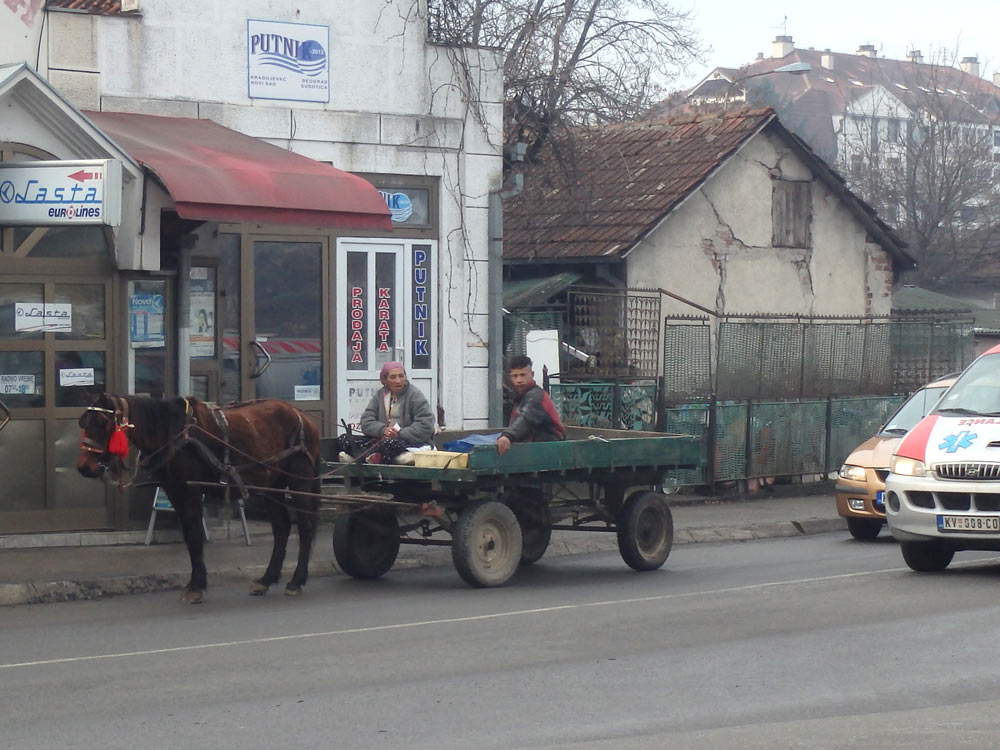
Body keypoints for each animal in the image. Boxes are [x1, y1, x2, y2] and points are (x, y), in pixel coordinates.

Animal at [78, 394, 320, 604]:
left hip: (299, 480)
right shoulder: (174, 490)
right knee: (281, 528)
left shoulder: (191, 490)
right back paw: (266, 579)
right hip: (272, 484)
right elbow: (188, 536)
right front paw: (195, 583)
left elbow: (195, 535)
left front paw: (196, 587)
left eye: (101, 422)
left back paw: (296, 581)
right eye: (84, 423)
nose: (84, 467)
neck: (173, 433)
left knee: (306, 525)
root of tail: (303, 416)